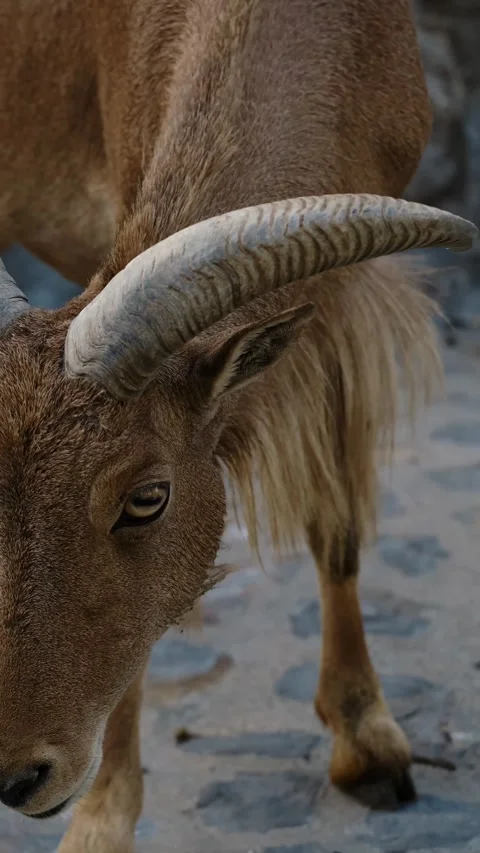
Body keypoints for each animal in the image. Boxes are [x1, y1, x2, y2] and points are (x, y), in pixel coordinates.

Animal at [0, 1, 477, 850]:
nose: (20, 776)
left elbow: (336, 518)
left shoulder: (334, 310)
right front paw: (102, 816)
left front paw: (368, 740)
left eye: (147, 497)